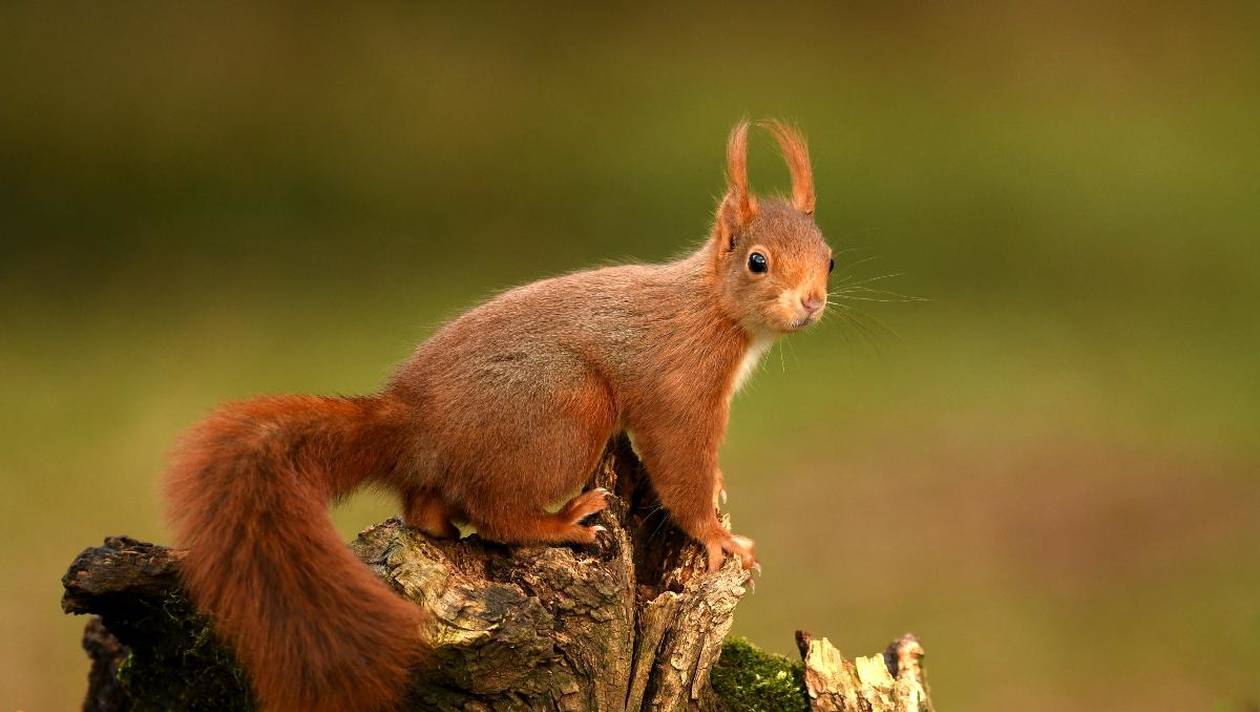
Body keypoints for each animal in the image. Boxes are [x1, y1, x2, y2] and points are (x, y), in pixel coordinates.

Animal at [162, 117, 831, 710]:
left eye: (829, 258)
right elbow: (679, 464)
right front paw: (718, 537)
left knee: (429, 509)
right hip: (567, 407)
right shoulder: (679, 387)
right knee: (495, 514)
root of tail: (410, 422)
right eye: (758, 261)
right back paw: (561, 523)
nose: (812, 303)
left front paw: (719, 493)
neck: (715, 310)